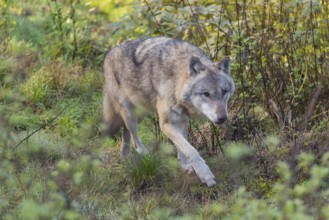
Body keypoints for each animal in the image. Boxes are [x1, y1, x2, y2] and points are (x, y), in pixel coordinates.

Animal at [102, 36, 233, 187]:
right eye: (206, 94)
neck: (175, 82)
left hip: (140, 113)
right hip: (130, 113)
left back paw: (124, 155)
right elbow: (191, 149)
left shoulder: (183, 120)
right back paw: (144, 153)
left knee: (125, 131)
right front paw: (205, 173)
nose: (222, 118)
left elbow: (183, 145)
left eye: (224, 92)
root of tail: (109, 53)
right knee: (134, 137)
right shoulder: (165, 123)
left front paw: (185, 165)